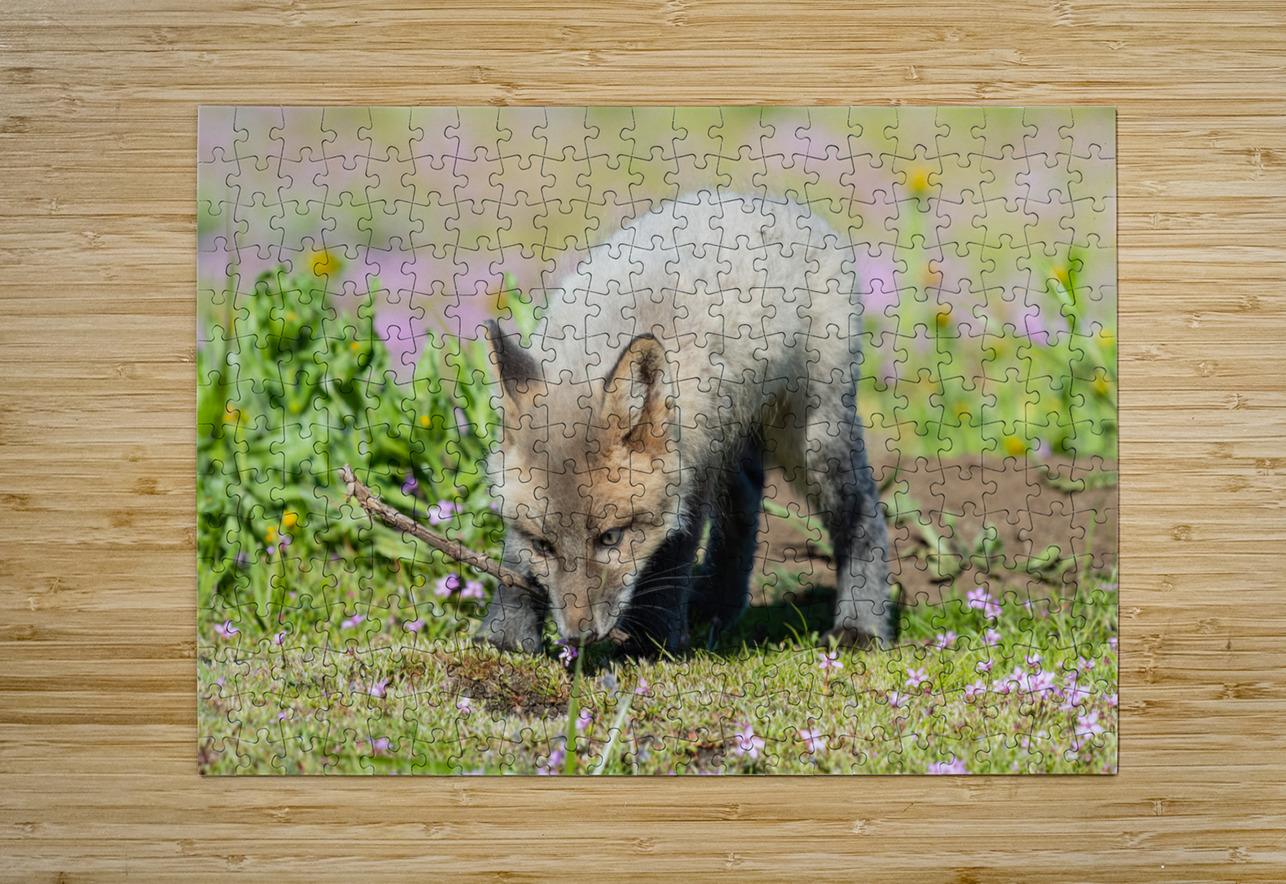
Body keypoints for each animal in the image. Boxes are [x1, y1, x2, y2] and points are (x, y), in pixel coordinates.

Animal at [480, 191, 892, 655]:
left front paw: (647, 644)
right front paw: (506, 635)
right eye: (543, 545)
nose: (580, 636)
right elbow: (514, 564)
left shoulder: (691, 467)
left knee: (865, 510)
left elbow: (670, 560)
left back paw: (861, 623)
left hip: (809, 437)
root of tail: (775, 201)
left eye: (610, 538)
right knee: (746, 499)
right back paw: (716, 604)